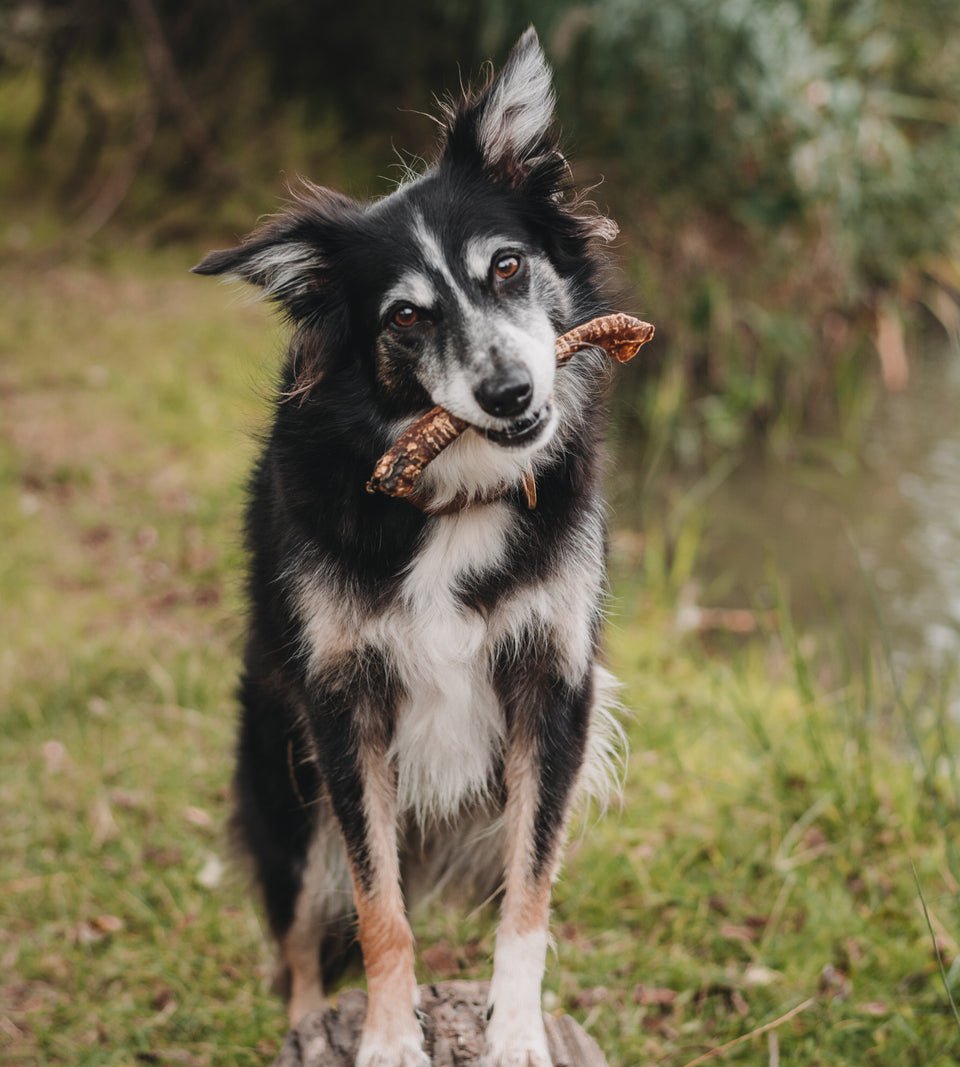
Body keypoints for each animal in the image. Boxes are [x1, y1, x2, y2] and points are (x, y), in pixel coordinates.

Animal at [195, 27, 627, 1067]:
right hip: (281, 776)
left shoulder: (553, 686)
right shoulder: (344, 707)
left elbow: (528, 897)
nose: (512, 394)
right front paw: (388, 1037)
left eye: (507, 268)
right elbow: (377, 902)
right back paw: (309, 1022)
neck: (455, 493)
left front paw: (516, 1031)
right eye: (405, 315)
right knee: (299, 930)